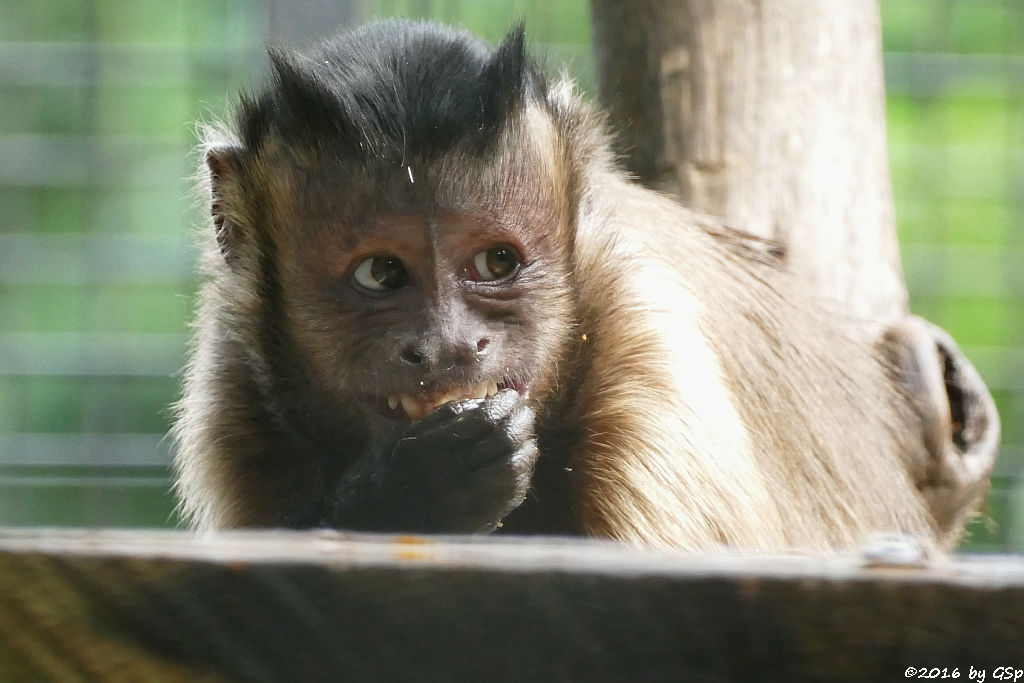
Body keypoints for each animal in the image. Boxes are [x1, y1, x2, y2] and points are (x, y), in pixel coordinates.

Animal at [174, 18, 983, 552]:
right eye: (380, 273)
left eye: (495, 264)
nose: (450, 347)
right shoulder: (234, 392)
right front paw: (410, 494)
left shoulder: (650, 358)